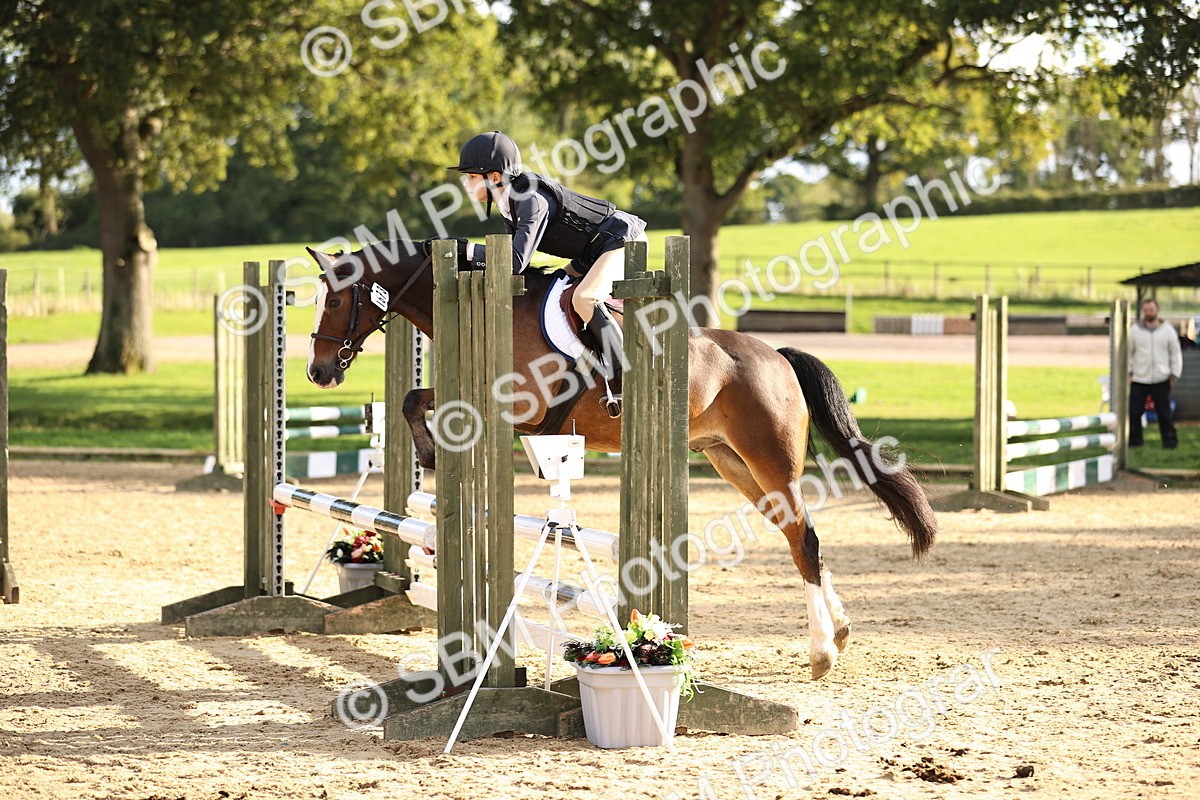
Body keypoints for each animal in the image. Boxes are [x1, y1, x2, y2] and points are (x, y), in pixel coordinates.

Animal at [304, 239, 937, 680]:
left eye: (335, 298)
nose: (318, 372)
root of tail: (776, 356)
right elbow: (414, 398)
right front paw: (431, 453)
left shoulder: (520, 409)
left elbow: (425, 404)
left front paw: (432, 453)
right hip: (730, 462)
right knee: (796, 534)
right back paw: (842, 631)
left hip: (768, 460)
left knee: (803, 538)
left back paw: (822, 653)